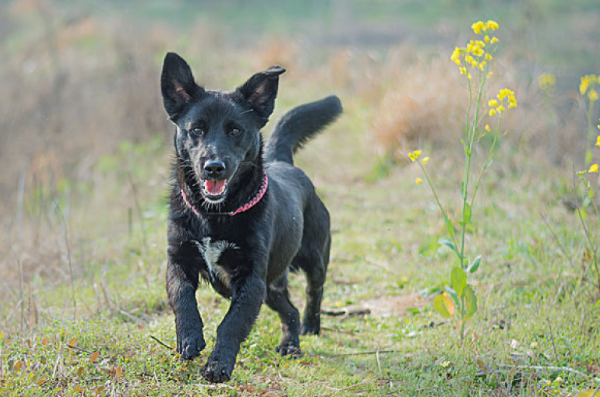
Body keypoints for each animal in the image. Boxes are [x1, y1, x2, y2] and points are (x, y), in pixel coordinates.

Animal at [159, 51, 342, 380]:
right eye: (196, 129)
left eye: (235, 130)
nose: (213, 167)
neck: (215, 214)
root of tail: (283, 162)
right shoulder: (179, 260)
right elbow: (182, 298)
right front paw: (189, 338)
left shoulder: (251, 280)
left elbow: (231, 324)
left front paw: (218, 365)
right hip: (268, 288)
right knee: (290, 310)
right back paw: (290, 344)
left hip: (313, 258)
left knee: (313, 292)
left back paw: (311, 327)